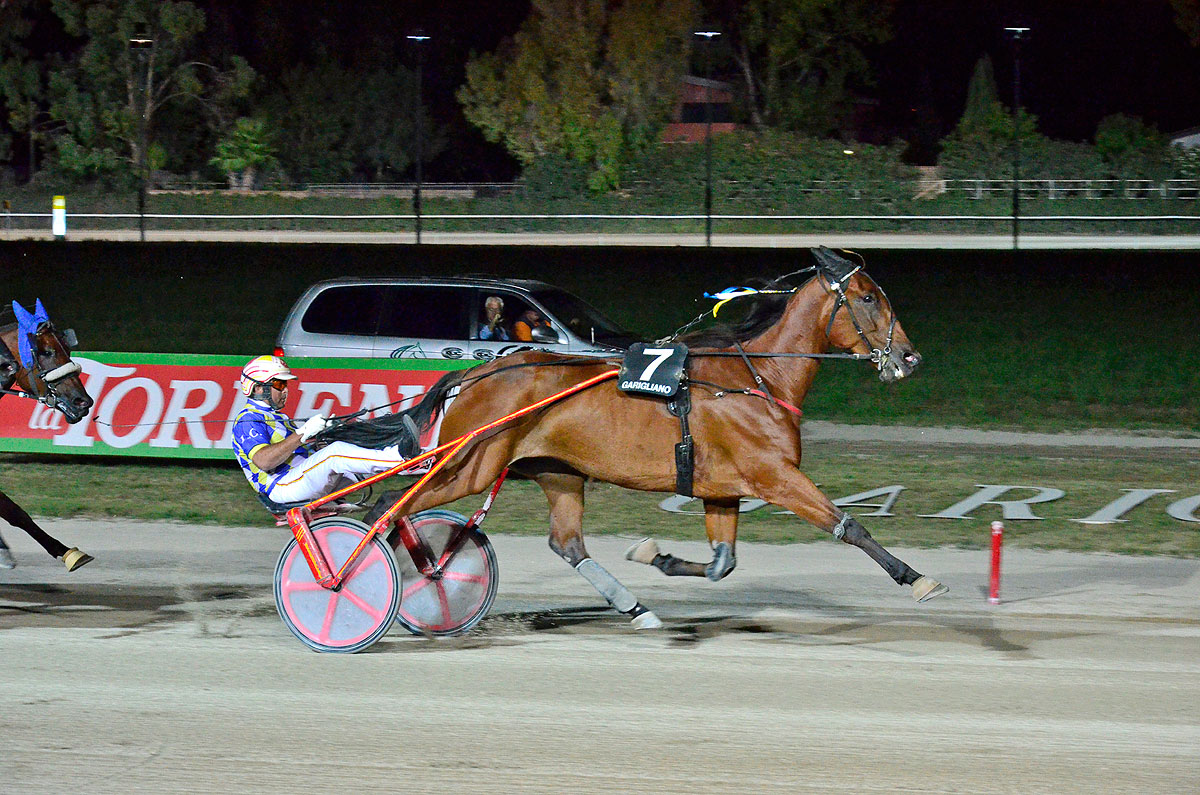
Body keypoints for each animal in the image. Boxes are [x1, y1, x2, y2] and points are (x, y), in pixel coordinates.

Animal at [338, 247, 945, 629]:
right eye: (867, 298)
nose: (911, 357)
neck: (757, 377)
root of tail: (474, 374)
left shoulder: (722, 487)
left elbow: (722, 563)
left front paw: (655, 554)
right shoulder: (774, 476)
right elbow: (848, 525)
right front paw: (916, 579)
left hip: (557, 472)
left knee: (566, 543)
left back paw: (634, 609)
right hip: (470, 464)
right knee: (392, 504)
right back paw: (368, 579)